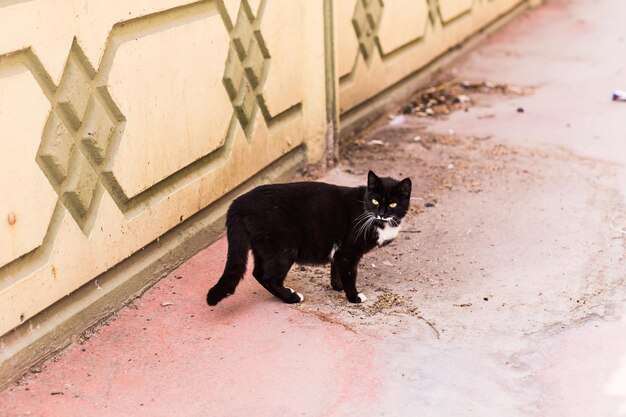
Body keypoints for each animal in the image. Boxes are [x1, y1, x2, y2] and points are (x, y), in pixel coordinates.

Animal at [205, 171, 410, 304]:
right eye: (375, 200)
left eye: (392, 204)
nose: (381, 213)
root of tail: (238, 202)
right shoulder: (348, 252)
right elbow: (350, 274)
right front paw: (354, 297)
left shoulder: (338, 251)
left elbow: (336, 269)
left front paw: (337, 286)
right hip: (284, 247)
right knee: (269, 277)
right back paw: (292, 298)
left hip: (263, 246)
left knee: (258, 273)